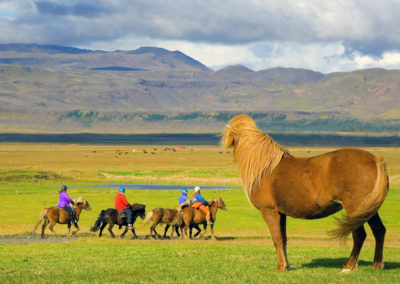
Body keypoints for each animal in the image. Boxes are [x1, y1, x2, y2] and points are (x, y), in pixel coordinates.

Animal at [222, 114, 388, 272]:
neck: (265, 168)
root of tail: (375, 160)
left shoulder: (269, 211)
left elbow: (276, 239)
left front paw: (280, 267)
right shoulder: (281, 213)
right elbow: (284, 239)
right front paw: (287, 266)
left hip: (355, 209)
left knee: (359, 235)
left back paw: (349, 267)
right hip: (369, 209)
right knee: (379, 230)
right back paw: (377, 265)